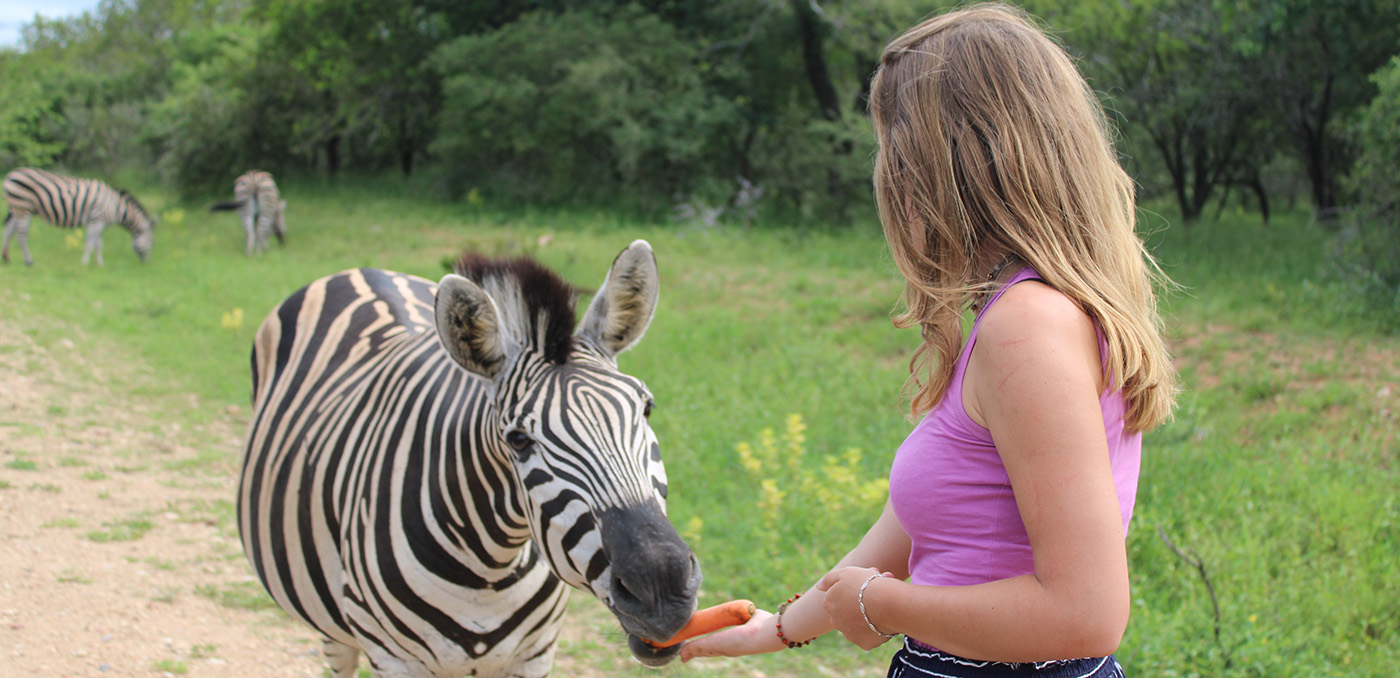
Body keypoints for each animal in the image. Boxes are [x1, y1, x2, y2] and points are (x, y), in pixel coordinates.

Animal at [2, 167, 156, 266]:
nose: (147, 264)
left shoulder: (99, 223)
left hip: (18, 208)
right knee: (21, 236)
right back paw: (29, 261)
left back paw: (6, 259)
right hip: (23, 208)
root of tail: (10, 175)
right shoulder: (96, 220)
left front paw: (100, 264)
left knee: (8, 231)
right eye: (152, 243)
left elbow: (98, 244)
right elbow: (90, 242)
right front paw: (85, 263)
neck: (116, 207)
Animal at [238, 240, 701, 677]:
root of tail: (361, 271)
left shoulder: (535, 654)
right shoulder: (392, 658)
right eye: (518, 440)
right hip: (334, 624)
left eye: (646, 409)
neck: (488, 570)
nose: (661, 590)